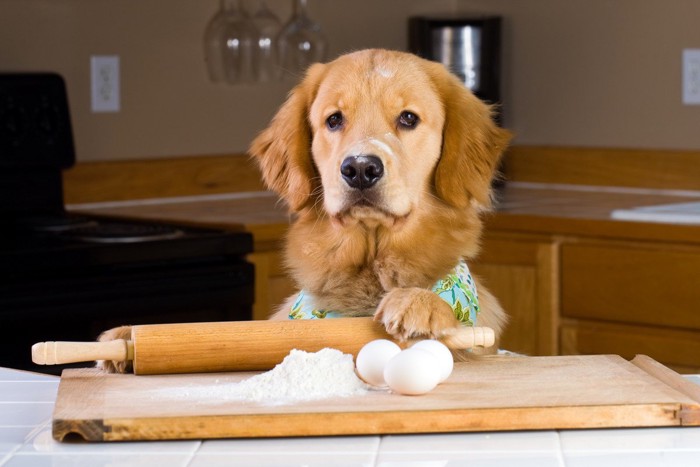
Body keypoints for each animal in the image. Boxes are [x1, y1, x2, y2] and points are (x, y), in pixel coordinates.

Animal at [97, 48, 508, 372]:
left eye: (408, 118)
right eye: (334, 120)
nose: (360, 169)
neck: (369, 272)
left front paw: (419, 303)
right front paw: (124, 337)